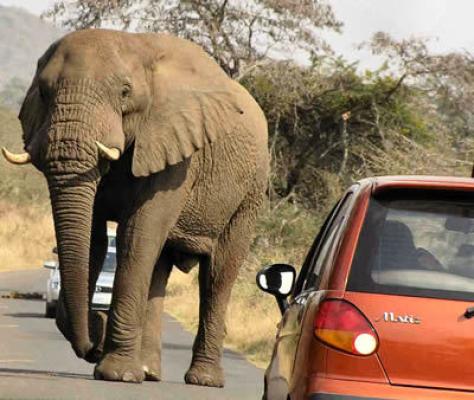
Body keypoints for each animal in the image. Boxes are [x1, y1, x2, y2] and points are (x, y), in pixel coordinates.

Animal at [2, 28, 270, 388]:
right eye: (43, 92)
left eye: (125, 93)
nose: (94, 342)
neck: (136, 46)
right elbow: (94, 239)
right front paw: (105, 347)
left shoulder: (177, 151)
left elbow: (136, 237)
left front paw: (116, 373)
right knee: (159, 269)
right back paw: (148, 372)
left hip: (250, 194)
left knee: (217, 274)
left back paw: (203, 380)